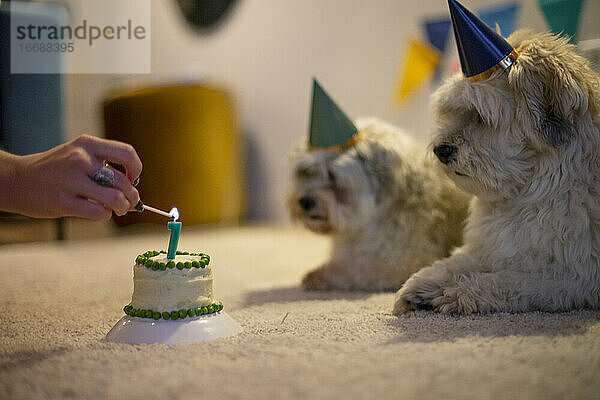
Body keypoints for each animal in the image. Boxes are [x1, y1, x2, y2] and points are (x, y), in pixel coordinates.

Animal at [288, 118, 472, 290]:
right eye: (306, 172)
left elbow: (354, 268)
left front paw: (319, 275)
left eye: (332, 176)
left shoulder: (399, 262)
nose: (304, 201)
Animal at [394, 29, 600, 314]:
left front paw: (459, 292)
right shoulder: (490, 247)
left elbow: (507, 282)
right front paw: (422, 283)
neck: (526, 194)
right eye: (452, 110)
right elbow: (455, 261)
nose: (440, 150)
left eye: (480, 116)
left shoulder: (576, 278)